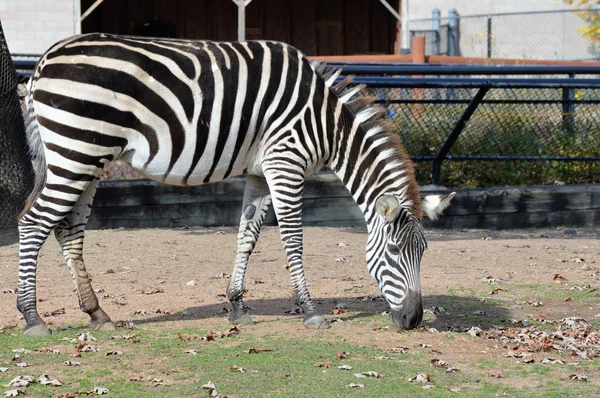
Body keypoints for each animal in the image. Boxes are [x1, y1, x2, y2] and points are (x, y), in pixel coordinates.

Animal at [16, 32, 452, 336]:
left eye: (424, 253)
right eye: (394, 251)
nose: (413, 320)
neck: (328, 125)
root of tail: (42, 63)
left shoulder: (260, 171)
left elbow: (248, 236)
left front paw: (238, 306)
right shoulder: (285, 163)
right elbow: (293, 239)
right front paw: (311, 311)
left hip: (87, 158)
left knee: (68, 231)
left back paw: (97, 313)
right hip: (77, 150)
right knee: (33, 223)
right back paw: (33, 318)